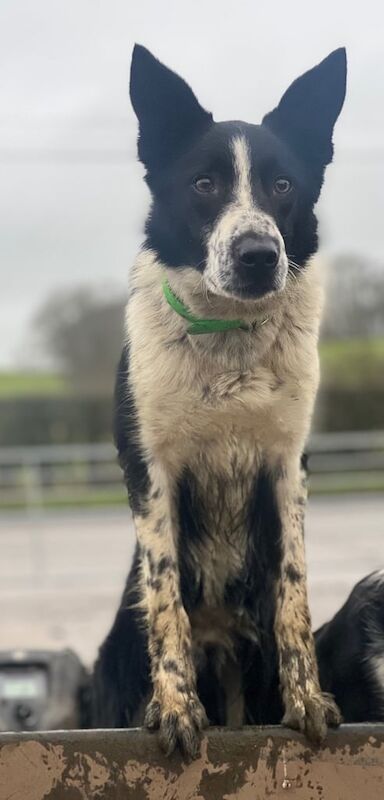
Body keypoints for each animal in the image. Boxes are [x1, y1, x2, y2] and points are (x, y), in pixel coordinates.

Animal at [92, 47, 384, 760]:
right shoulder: (149, 471)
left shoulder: (287, 469)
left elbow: (294, 591)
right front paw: (175, 708)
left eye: (282, 186)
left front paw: (308, 701)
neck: (229, 337)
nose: (258, 255)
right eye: (203, 184)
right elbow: (165, 593)